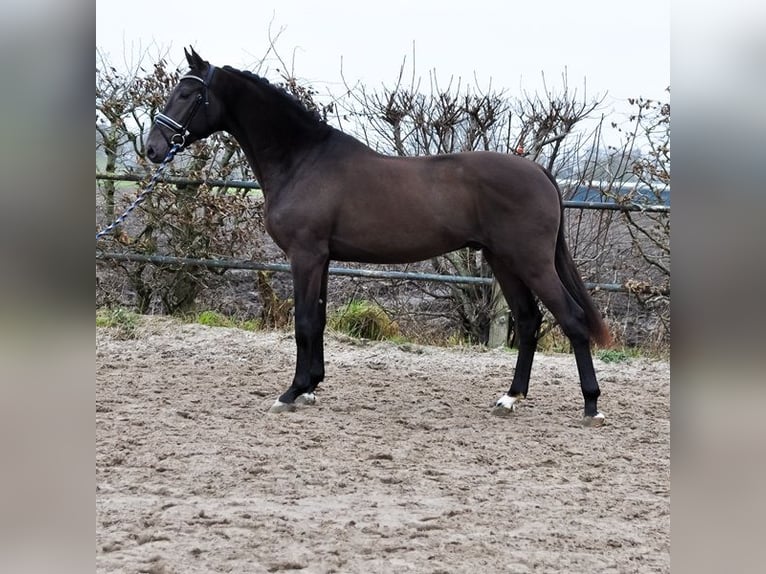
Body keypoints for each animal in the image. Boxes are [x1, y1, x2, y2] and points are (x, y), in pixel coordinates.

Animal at [146, 48, 612, 428]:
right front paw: (311, 386)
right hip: (503, 260)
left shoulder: (305, 255)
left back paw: (591, 406)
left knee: (571, 319)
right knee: (530, 320)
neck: (303, 160)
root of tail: (539, 171)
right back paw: (510, 398)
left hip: (530, 260)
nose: (152, 148)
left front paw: (291, 392)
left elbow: (304, 322)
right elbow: (317, 320)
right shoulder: (322, 258)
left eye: (187, 94)